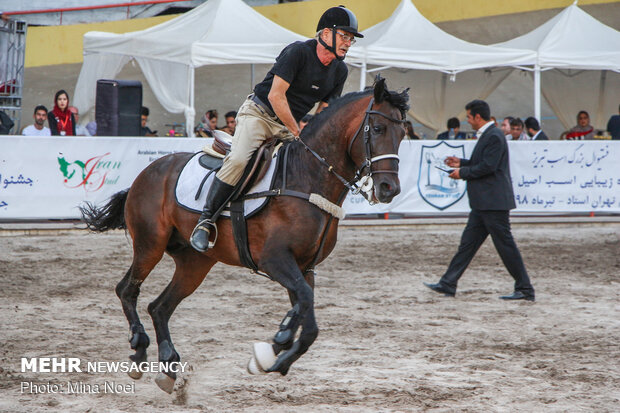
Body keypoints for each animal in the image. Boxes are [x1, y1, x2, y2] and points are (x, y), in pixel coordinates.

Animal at [81, 78, 412, 392]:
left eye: (402, 134)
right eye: (378, 128)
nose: (389, 189)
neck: (307, 178)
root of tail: (149, 171)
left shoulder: (304, 267)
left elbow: (308, 319)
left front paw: (277, 351)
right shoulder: (274, 260)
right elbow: (304, 303)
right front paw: (278, 343)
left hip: (195, 263)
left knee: (159, 307)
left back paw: (168, 365)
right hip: (150, 244)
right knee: (128, 290)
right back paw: (139, 350)